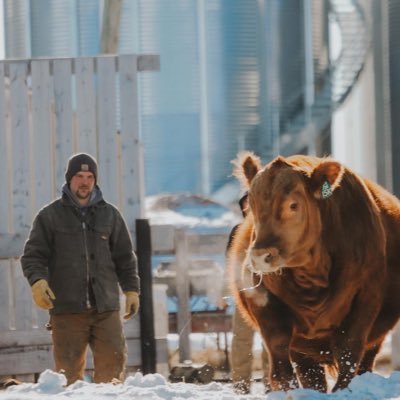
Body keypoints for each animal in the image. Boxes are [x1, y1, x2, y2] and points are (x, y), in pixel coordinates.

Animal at [228, 152, 400, 392]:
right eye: (251, 205)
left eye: (293, 205)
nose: (261, 255)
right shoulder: (264, 301)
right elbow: (279, 355)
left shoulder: (366, 298)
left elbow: (349, 353)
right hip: (304, 350)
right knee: (311, 375)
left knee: (364, 363)